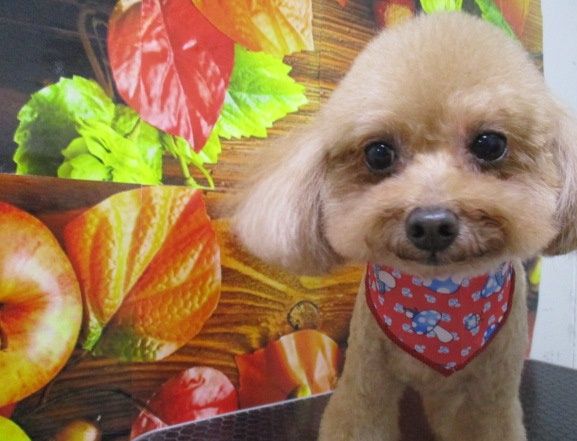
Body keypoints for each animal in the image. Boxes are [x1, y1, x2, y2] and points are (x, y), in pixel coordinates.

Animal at [232, 12, 577, 441]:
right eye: (378, 153)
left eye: (490, 144)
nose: (431, 225)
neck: (440, 301)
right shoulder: (366, 383)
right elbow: (360, 418)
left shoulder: (490, 398)